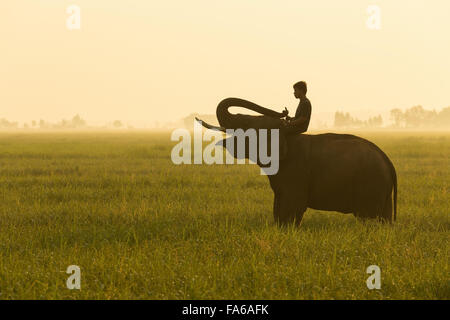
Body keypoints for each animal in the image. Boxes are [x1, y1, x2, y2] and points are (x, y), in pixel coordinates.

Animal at [197, 99, 398, 226]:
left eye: (246, 123)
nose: (284, 111)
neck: (285, 133)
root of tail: (388, 162)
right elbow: (278, 207)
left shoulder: (296, 172)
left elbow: (292, 207)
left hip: (371, 185)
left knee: (368, 219)